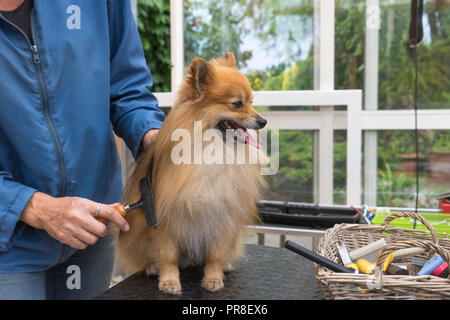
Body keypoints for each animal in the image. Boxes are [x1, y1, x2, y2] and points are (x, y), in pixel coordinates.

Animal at [117, 52, 268, 296]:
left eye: (251, 102)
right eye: (237, 104)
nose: (263, 121)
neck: (209, 147)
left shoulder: (221, 214)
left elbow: (215, 253)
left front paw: (213, 278)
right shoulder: (163, 217)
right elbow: (168, 254)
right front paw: (169, 281)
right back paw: (152, 267)